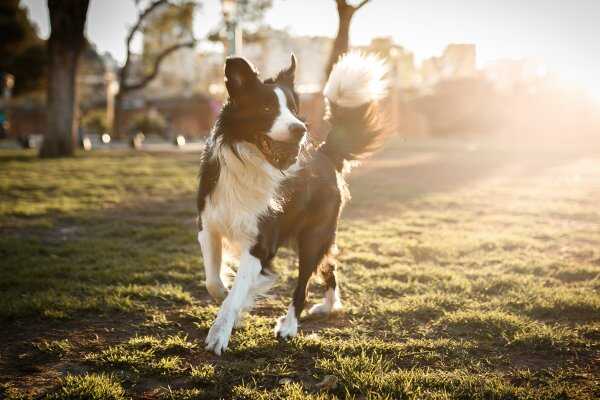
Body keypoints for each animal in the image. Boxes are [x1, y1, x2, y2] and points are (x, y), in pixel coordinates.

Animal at [197, 51, 390, 354]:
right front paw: (237, 303)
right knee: (330, 266)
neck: (250, 163)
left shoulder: (260, 243)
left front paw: (221, 331)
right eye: (266, 108)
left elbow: (236, 291)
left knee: (303, 286)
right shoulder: (208, 226)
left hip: (313, 235)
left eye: (293, 108)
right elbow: (214, 283)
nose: (300, 129)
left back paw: (289, 326)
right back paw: (329, 306)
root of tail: (325, 153)